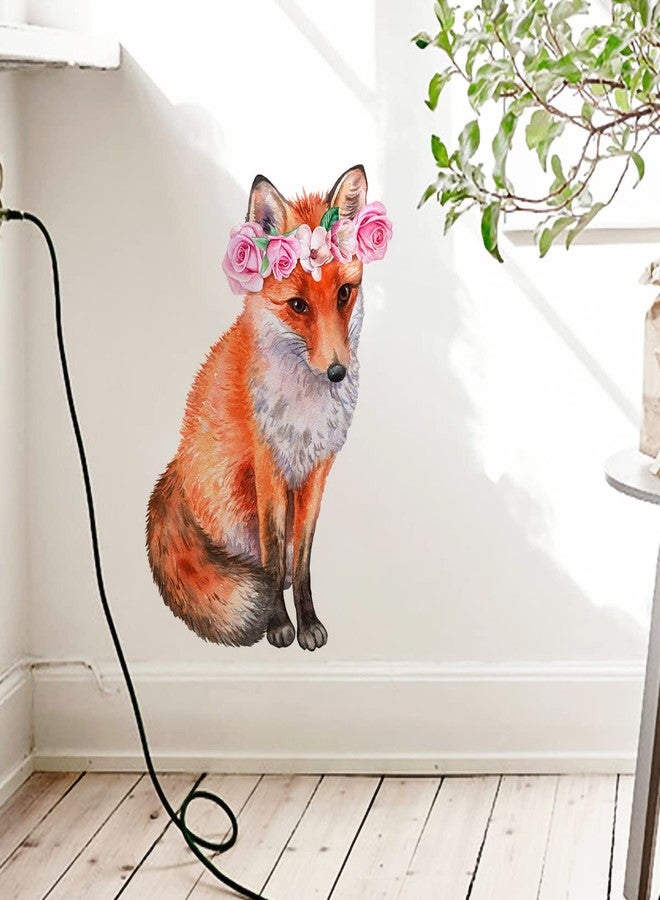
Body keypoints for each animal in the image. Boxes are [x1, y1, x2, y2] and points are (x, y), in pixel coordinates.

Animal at [147, 165, 379, 651]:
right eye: (298, 305)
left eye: (344, 293)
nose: (336, 372)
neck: (305, 413)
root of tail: (176, 469)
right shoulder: (267, 465)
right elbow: (272, 557)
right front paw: (278, 624)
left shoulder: (317, 470)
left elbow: (302, 559)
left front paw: (307, 621)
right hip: (235, 497)